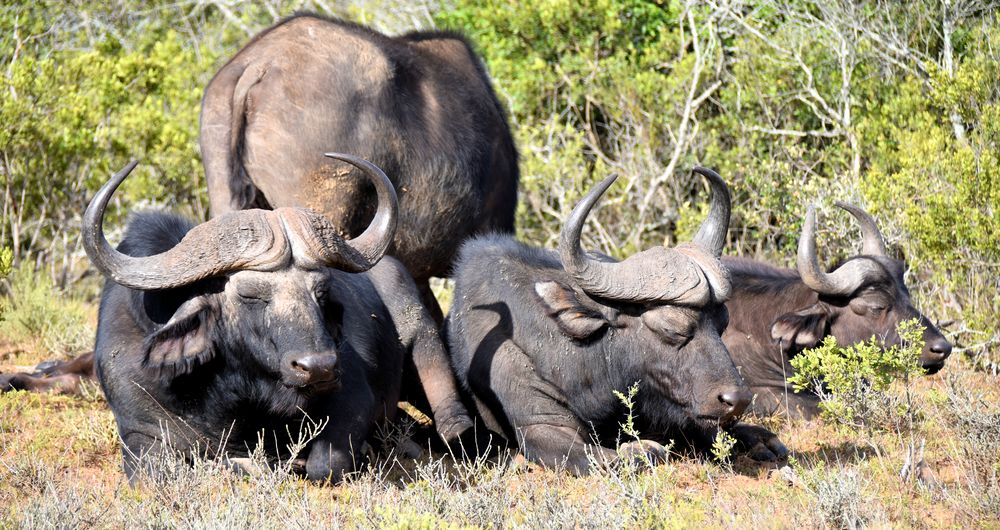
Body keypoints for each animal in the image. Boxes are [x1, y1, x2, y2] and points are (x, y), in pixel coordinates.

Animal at [85, 154, 468, 482]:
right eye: (250, 294)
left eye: (321, 291)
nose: (319, 366)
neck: (228, 396)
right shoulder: (140, 430)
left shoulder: (353, 399)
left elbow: (325, 463)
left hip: (424, 344)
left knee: (452, 421)